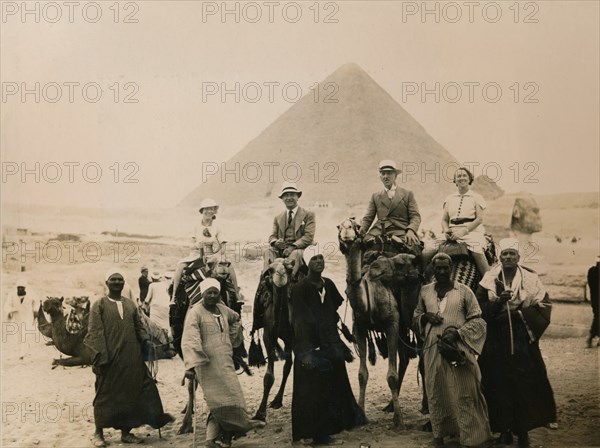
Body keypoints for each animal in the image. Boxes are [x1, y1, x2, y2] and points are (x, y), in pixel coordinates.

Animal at [248, 258, 296, 422]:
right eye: (270, 270)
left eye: (289, 269)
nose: (280, 274)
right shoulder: (268, 336)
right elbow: (269, 377)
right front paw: (260, 413)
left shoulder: (292, 336)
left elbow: (287, 366)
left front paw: (266, 408)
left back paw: (277, 400)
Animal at [338, 219, 422, 428]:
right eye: (338, 227)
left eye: (354, 226)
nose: (346, 233)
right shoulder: (359, 328)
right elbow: (362, 374)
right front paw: (361, 415)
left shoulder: (392, 325)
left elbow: (391, 375)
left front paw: (399, 421)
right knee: (405, 357)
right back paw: (390, 405)